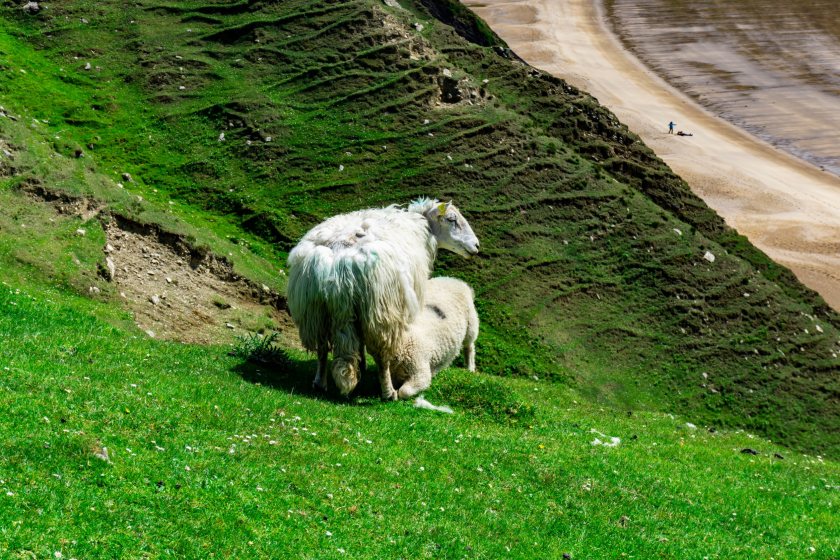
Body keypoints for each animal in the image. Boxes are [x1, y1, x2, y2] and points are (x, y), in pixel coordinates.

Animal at [286, 197, 480, 398]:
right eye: (452, 219)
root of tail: (339, 263)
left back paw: (320, 383)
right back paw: (388, 392)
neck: (423, 229)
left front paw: (362, 365)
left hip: (314, 310)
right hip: (380, 309)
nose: (476, 246)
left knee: (322, 347)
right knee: (382, 356)